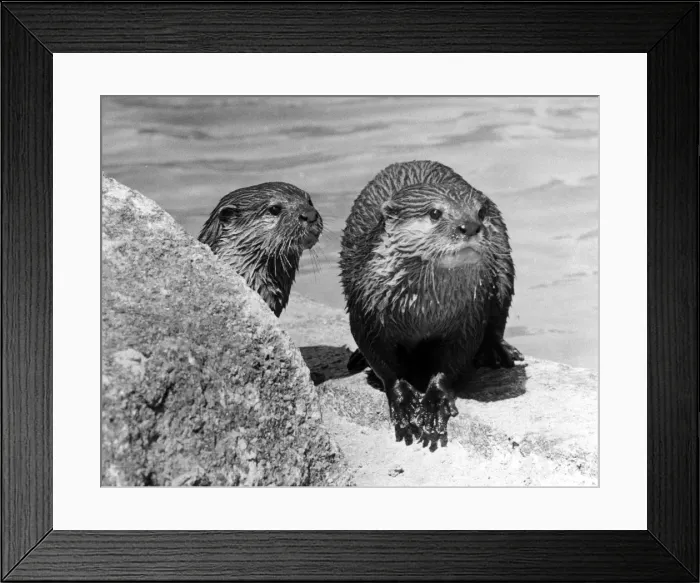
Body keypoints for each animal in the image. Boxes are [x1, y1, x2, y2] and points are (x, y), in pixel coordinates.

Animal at [340, 161, 523, 446]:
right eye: (435, 212)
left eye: (480, 212)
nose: (470, 226)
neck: (422, 312)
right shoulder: (365, 311)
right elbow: (382, 361)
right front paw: (403, 403)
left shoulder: (469, 316)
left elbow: (453, 360)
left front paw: (434, 404)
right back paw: (357, 358)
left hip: (503, 270)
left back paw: (497, 352)